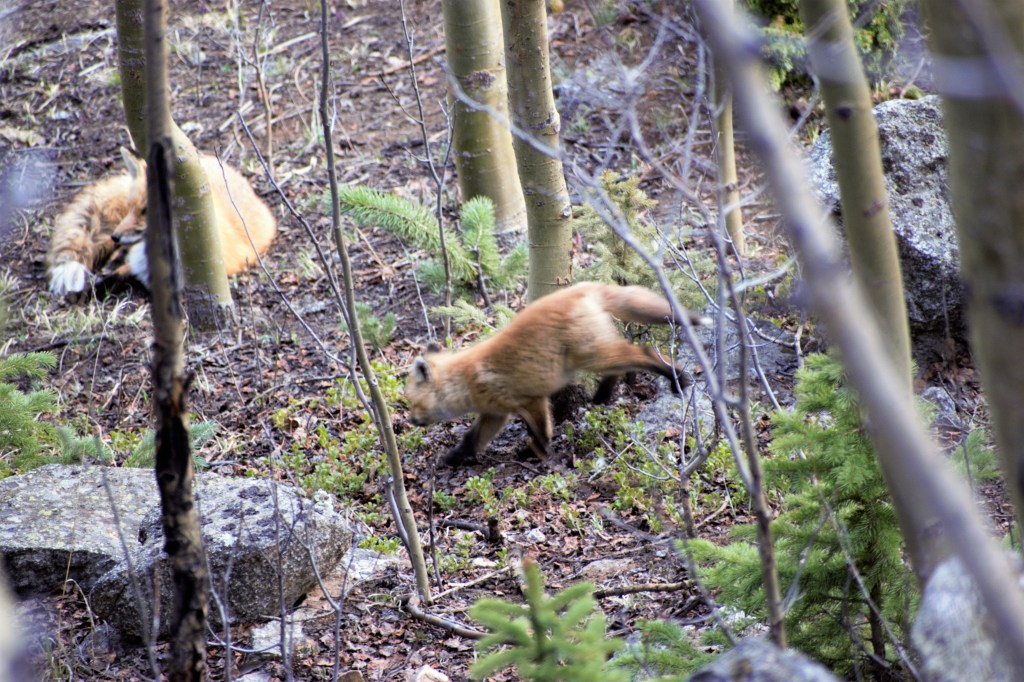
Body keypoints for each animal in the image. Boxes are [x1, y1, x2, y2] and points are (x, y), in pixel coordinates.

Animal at [405, 282, 708, 467]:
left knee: (644, 353)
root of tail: (584, 287)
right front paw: (452, 457)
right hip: (597, 357)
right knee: (620, 367)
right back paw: (602, 396)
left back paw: (676, 377)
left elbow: (542, 433)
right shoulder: (496, 413)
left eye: (412, 402)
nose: (409, 420)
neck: (467, 380)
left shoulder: (531, 401)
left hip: (595, 356)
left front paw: (538, 454)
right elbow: (471, 441)